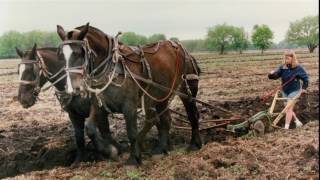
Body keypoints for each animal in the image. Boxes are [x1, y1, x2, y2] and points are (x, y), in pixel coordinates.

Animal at [57, 22, 202, 166]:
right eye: (61, 55)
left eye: (79, 53)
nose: (72, 88)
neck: (112, 69)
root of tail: (181, 48)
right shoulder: (98, 105)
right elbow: (91, 129)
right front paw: (112, 151)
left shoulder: (129, 106)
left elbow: (131, 132)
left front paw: (133, 158)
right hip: (160, 96)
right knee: (164, 119)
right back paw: (160, 149)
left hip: (186, 90)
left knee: (191, 114)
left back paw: (194, 144)